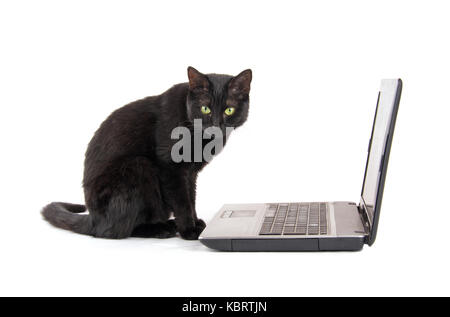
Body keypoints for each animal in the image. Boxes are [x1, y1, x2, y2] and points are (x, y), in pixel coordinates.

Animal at [41, 67, 253, 239]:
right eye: (205, 108)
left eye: (229, 110)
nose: (216, 125)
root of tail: (93, 218)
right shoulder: (170, 168)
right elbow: (182, 201)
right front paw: (189, 231)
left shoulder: (190, 173)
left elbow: (191, 198)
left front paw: (195, 222)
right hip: (137, 166)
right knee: (114, 231)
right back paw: (162, 229)